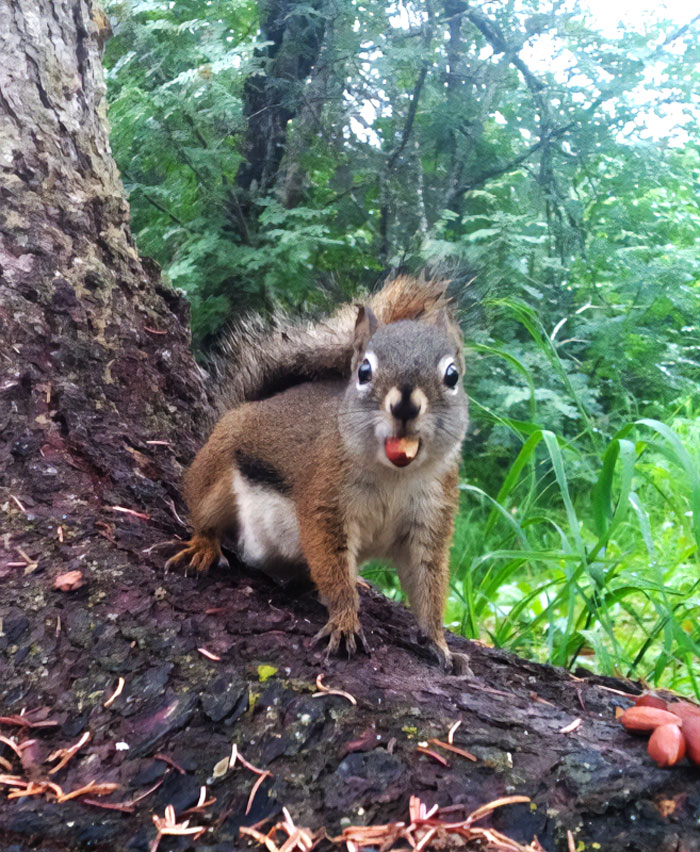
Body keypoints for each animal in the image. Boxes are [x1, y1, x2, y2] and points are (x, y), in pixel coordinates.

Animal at [168, 276, 470, 676]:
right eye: (364, 371)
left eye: (452, 375)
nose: (405, 405)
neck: (395, 476)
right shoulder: (324, 499)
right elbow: (331, 565)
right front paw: (345, 622)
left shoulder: (432, 516)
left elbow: (428, 585)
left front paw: (439, 643)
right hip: (216, 474)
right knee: (205, 515)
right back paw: (203, 545)